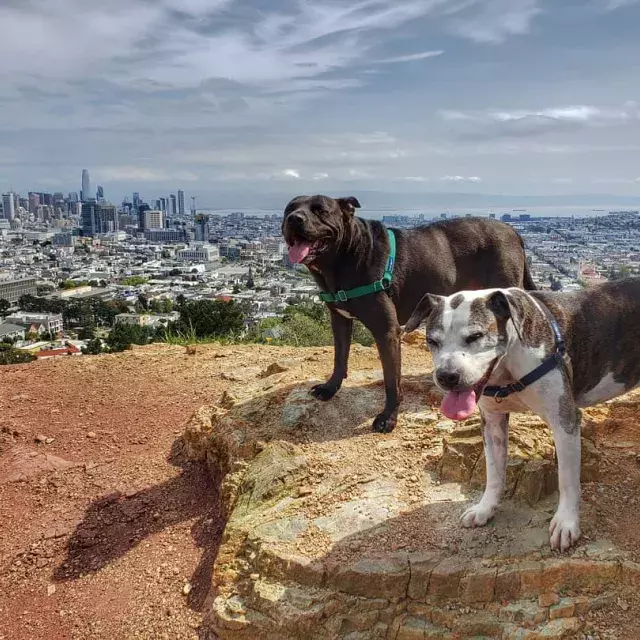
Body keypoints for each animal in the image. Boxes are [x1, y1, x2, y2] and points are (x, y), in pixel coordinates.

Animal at [282, 195, 532, 432]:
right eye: (289, 209)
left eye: (320, 210)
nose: (294, 219)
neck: (346, 254)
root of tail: (512, 230)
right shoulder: (340, 320)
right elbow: (339, 358)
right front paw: (330, 388)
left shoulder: (387, 331)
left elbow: (391, 380)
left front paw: (388, 418)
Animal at [404, 278, 640, 552]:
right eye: (432, 341)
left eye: (475, 336)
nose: (446, 376)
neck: (507, 364)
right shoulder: (492, 422)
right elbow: (494, 472)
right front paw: (485, 509)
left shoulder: (565, 421)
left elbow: (567, 479)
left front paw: (566, 523)